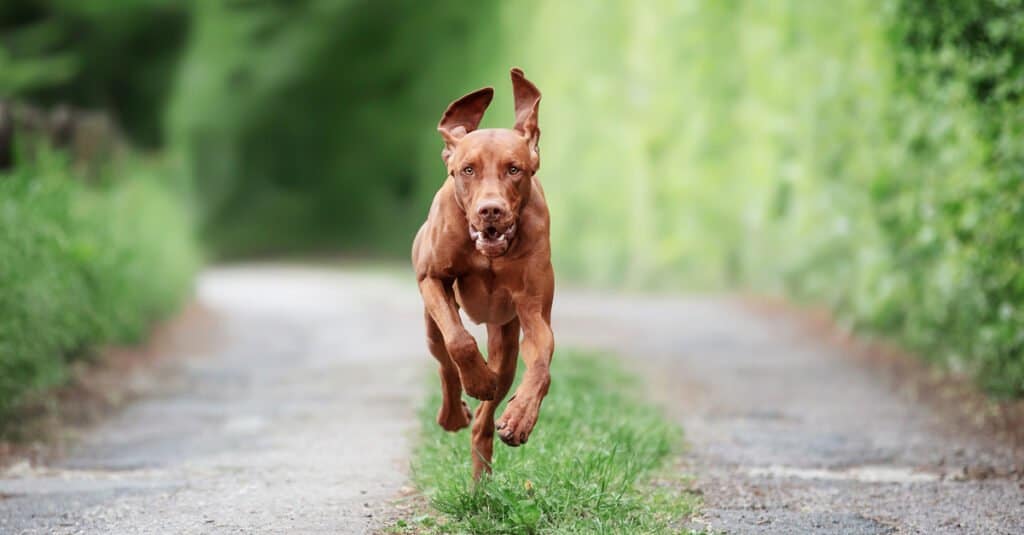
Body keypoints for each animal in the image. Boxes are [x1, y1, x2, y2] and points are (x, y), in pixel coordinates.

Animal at [409, 68, 557, 477]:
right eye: (468, 170)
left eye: (514, 169)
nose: (491, 211)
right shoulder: (431, 279)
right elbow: (459, 342)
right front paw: (476, 380)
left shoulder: (533, 309)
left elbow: (543, 359)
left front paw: (521, 418)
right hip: (431, 326)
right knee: (445, 361)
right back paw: (453, 412)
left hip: (505, 337)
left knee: (486, 416)